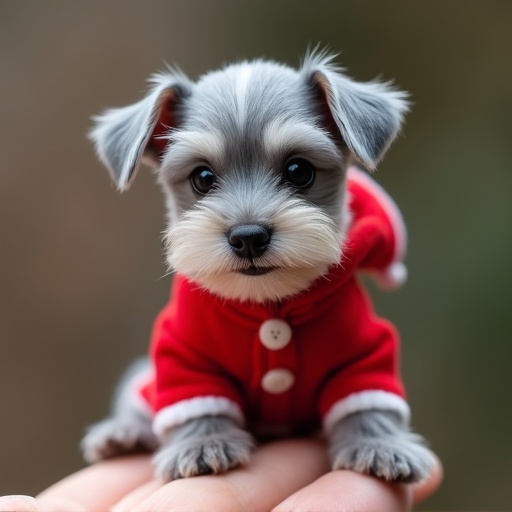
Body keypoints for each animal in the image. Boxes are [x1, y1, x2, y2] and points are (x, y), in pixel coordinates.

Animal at [83, 51, 436, 484]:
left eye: (299, 170)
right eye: (202, 177)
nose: (248, 236)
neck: (268, 303)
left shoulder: (365, 352)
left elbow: (368, 401)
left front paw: (379, 445)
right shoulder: (183, 355)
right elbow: (197, 402)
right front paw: (204, 444)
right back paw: (123, 433)